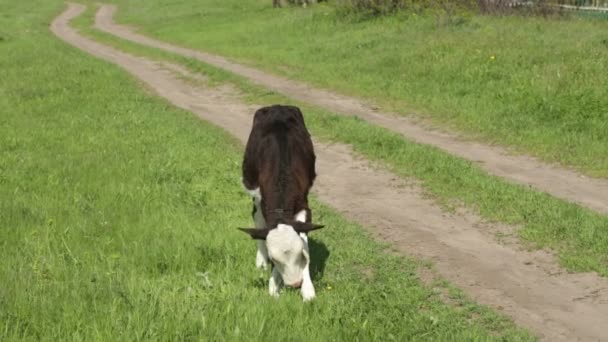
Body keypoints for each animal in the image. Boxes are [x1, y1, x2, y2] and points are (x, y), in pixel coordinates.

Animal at [239, 105, 326, 302]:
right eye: (274, 259)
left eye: (300, 255)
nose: (295, 284)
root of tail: (277, 106)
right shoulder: (263, 201)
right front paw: (273, 286)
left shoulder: (303, 205)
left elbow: (305, 239)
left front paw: (308, 291)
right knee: (256, 219)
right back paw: (260, 261)